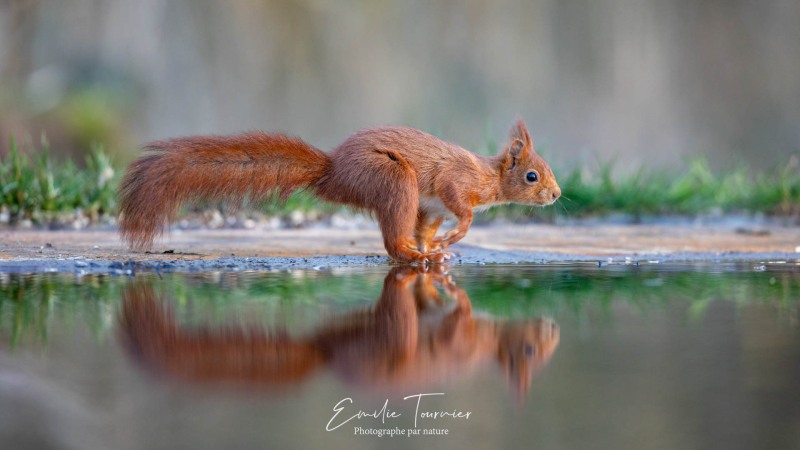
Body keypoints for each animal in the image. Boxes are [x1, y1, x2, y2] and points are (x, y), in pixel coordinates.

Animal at [119, 118, 560, 264]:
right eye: (532, 176)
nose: (556, 195)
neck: (489, 177)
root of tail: (333, 172)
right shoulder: (455, 183)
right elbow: (461, 211)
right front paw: (454, 237)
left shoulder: (432, 209)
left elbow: (426, 229)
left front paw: (438, 247)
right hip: (392, 178)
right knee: (393, 241)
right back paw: (412, 257)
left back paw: (421, 255)